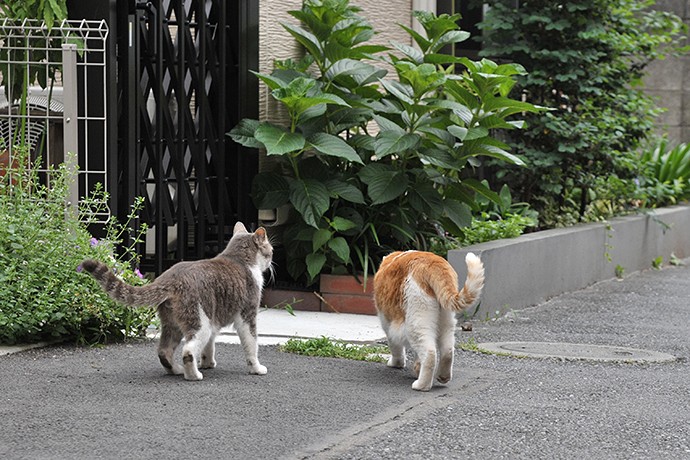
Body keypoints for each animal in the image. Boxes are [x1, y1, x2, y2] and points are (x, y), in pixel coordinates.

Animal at [81, 223, 272, 380]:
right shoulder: (247, 316)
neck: (238, 258)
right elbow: (251, 344)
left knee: (164, 351)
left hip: (174, 323)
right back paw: (193, 375)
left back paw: (177, 370)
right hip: (200, 323)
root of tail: (169, 277)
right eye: (270, 250)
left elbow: (209, 346)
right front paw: (256, 368)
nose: (271, 262)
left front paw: (208, 363)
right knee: (188, 350)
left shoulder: (214, 319)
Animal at [370, 252, 484, 392]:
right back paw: (443, 376)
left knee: (430, 353)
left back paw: (421, 385)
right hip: (446, 322)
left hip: (416, 324)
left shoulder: (388, 324)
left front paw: (397, 364)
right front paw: (417, 368)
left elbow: (396, 347)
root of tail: (433, 262)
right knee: (447, 350)